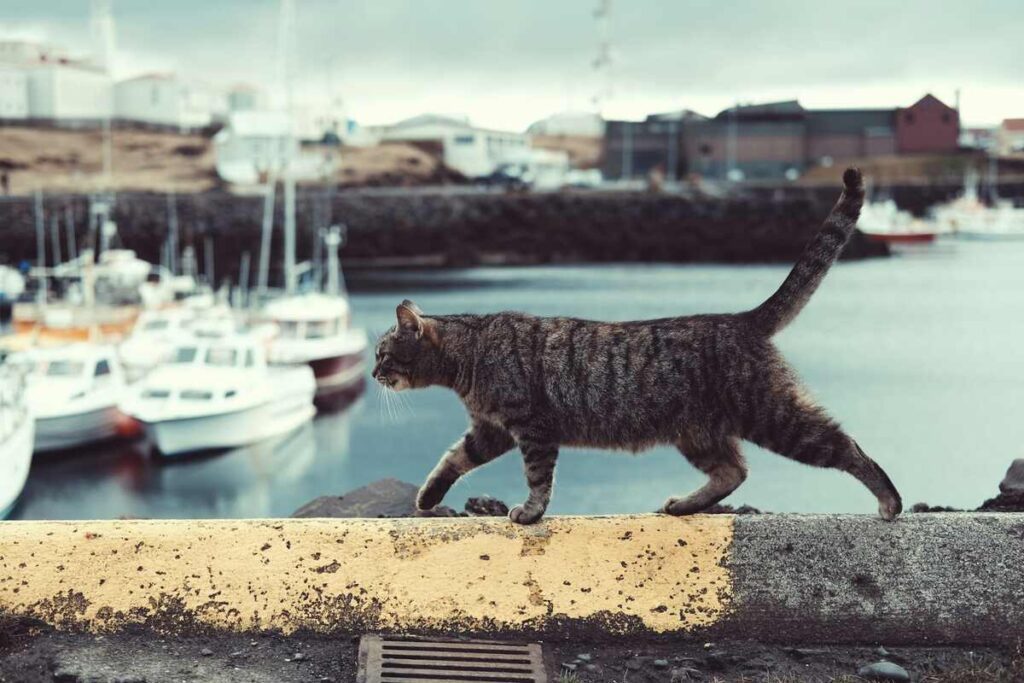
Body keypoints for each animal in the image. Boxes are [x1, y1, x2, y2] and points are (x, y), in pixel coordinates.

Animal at [372, 169, 901, 524]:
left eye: (381, 354)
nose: (373, 374)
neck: (470, 353)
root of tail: (741, 319)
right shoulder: (491, 431)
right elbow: (451, 460)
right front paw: (427, 497)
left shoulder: (531, 427)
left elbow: (538, 478)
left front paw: (531, 511)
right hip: (699, 434)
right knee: (732, 472)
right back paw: (685, 505)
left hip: (774, 416)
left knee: (844, 445)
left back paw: (889, 500)